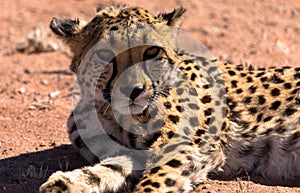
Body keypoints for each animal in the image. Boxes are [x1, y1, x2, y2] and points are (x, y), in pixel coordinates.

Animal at [39, 5, 300, 192]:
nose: (133, 91)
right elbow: (109, 167)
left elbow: (154, 181)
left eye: (152, 51)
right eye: (104, 54)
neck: (112, 112)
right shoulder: (134, 153)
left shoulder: (186, 146)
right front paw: (67, 182)